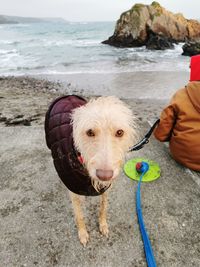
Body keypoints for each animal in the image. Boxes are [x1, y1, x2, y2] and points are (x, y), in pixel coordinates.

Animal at [44, 96, 137, 247]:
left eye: (120, 132)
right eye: (89, 132)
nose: (104, 176)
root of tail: (67, 96)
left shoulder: (106, 188)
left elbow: (103, 207)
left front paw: (103, 225)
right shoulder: (73, 189)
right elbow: (79, 216)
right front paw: (83, 234)